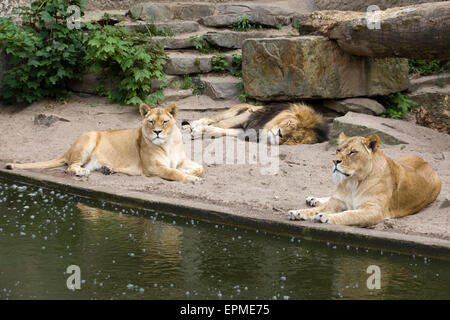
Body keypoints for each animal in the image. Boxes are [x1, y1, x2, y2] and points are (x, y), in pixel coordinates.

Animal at [4, 104, 202, 181]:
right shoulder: (152, 167)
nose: (157, 132)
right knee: (70, 167)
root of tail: (69, 149)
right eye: (151, 122)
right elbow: (172, 172)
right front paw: (190, 178)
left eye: (165, 122)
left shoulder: (181, 160)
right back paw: (82, 172)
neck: (167, 144)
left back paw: (108, 169)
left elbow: (199, 168)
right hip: (89, 138)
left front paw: (190, 172)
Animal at [181, 102, 328, 145]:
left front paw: (201, 132)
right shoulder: (250, 116)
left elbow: (221, 130)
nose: (280, 134)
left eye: (295, 138)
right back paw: (190, 125)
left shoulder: (246, 131)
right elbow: (222, 124)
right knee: (214, 118)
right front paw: (197, 130)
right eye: (289, 123)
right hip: (239, 110)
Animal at [286, 131, 442, 226]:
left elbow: (349, 214)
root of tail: (426, 162)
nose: (335, 161)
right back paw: (313, 199)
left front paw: (325, 217)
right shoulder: (336, 202)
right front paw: (297, 212)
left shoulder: (374, 210)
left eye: (352, 152)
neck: (353, 182)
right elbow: (319, 208)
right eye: (338, 150)